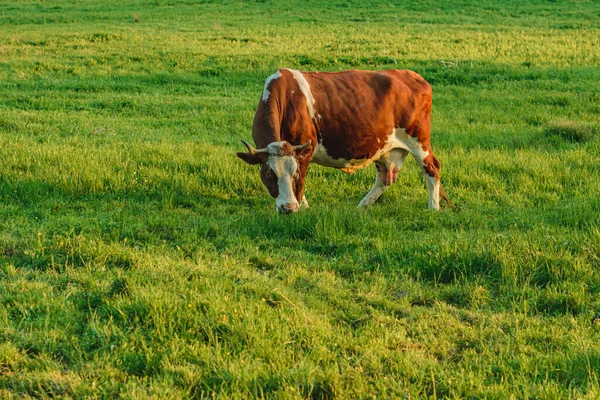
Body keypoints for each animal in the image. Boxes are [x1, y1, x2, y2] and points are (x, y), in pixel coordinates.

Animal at [237, 68, 442, 216]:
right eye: (269, 174)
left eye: (294, 174)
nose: (288, 208)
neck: (287, 97)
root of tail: (414, 76)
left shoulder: (304, 151)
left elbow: (301, 184)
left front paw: (301, 207)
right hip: (384, 148)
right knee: (384, 178)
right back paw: (362, 205)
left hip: (419, 141)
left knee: (432, 168)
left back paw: (433, 207)